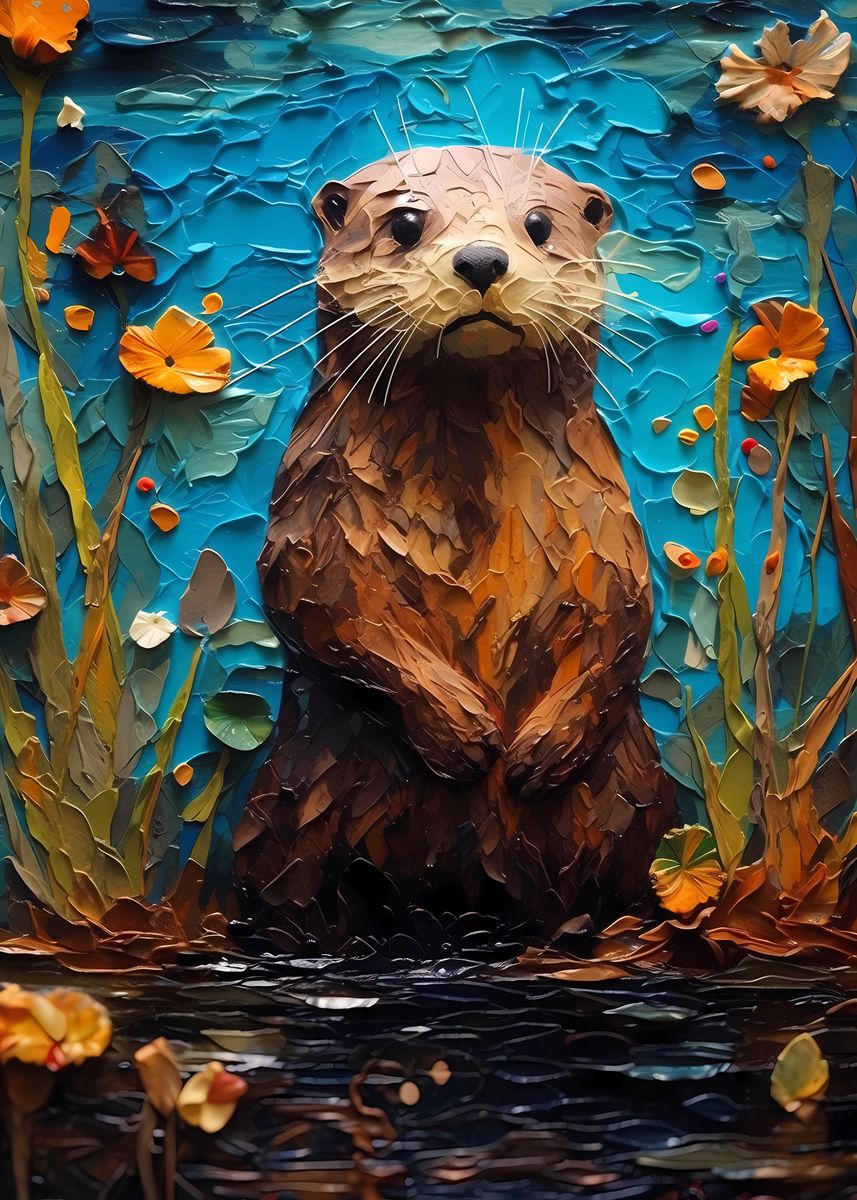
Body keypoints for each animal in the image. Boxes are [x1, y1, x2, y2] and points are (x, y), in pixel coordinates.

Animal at [234, 145, 677, 945]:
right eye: (406, 223)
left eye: (539, 224)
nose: (480, 259)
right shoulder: (313, 517)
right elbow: (321, 609)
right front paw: (460, 731)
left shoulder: (607, 531)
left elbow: (625, 619)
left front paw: (543, 752)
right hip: (286, 818)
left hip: (639, 810)